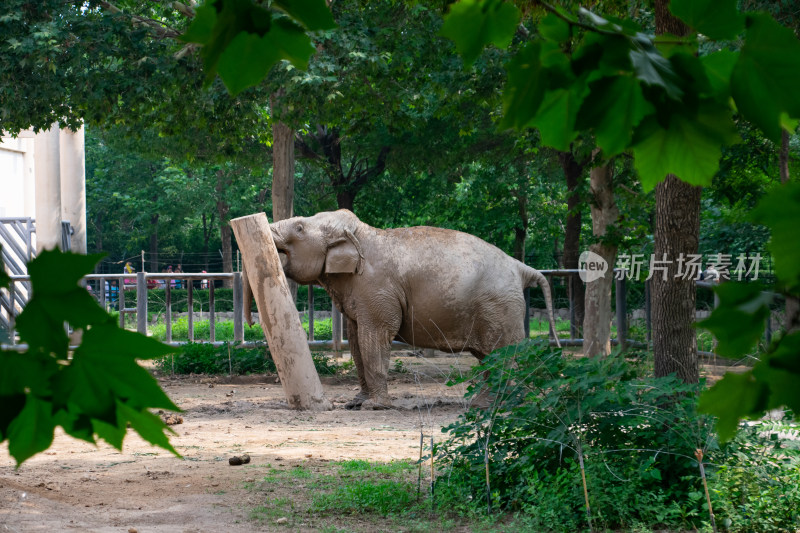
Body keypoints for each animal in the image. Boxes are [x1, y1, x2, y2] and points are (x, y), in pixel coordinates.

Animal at [260, 210, 556, 410]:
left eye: (299, 227)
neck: (362, 234)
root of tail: (520, 267)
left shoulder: (377, 290)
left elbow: (375, 336)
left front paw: (374, 407)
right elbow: (356, 340)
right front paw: (356, 403)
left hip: (499, 308)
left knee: (502, 354)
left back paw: (499, 404)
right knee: (489, 357)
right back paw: (487, 404)